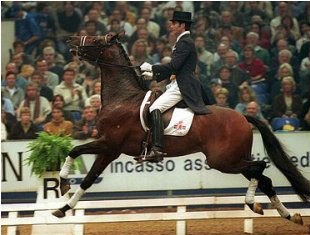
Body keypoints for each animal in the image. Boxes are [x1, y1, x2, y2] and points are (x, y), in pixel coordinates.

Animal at [52, 33, 308, 226]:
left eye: (96, 40)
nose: (71, 41)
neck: (122, 99)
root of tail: (242, 116)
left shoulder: (109, 144)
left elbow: (74, 152)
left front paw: (63, 184)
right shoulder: (109, 151)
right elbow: (88, 179)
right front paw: (63, 207)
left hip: (223, 160)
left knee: (260, 167)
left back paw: (253, 202)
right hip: (234, 158)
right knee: (264, 178)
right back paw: (288, 215)